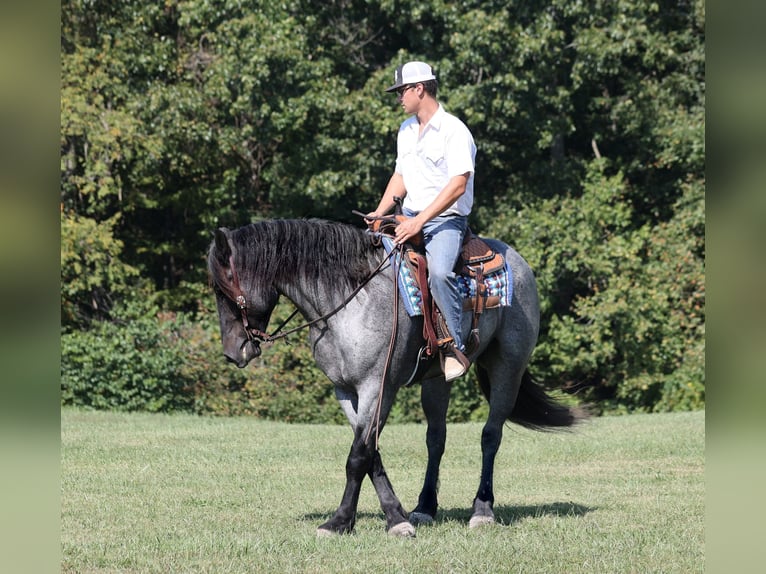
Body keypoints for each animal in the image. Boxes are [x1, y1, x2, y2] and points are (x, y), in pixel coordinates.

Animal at [207, 218, 584, 536]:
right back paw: (425, 507)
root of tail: (517, 261)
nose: (233, 352)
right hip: (436, 380)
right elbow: (370, 453)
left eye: (225, 290)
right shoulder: (345, 391)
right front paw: (397, 515)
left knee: (491, 435)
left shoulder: (378, 386)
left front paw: (340, 521)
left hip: (508, 366)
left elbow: (358, 456)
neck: (352, 300)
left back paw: (482, 510)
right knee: (436, 439)